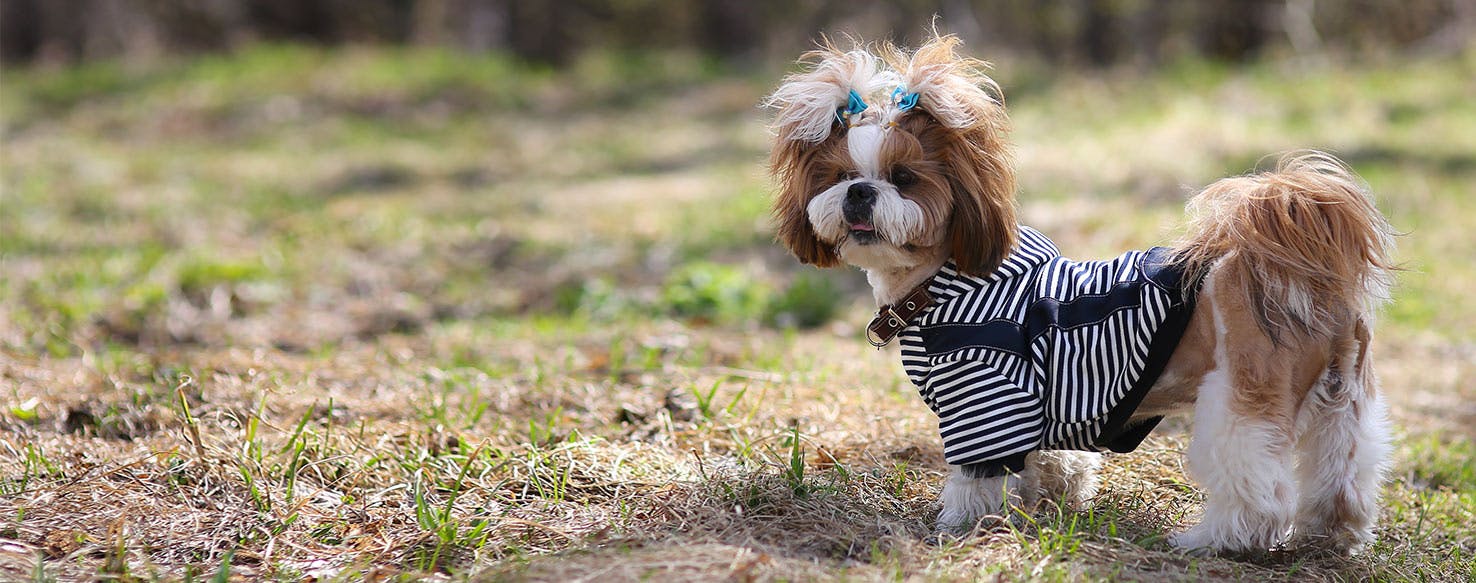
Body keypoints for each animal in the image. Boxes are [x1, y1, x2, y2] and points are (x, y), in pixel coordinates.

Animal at [767, 34, 1399, 554]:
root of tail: (1298, 274)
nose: (860, 193)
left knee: (1257, 489)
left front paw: (962, 524)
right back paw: (1332, 535)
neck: (946, 281)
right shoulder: (1045, 404)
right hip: (1344, 402)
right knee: (1345, 474)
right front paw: (1052, 498)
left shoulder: (984, 397)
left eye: (903, 179)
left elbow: (977, 477)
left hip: (1241, 402)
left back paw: (1216, 540)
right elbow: (1054, 457)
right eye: (838, 177)